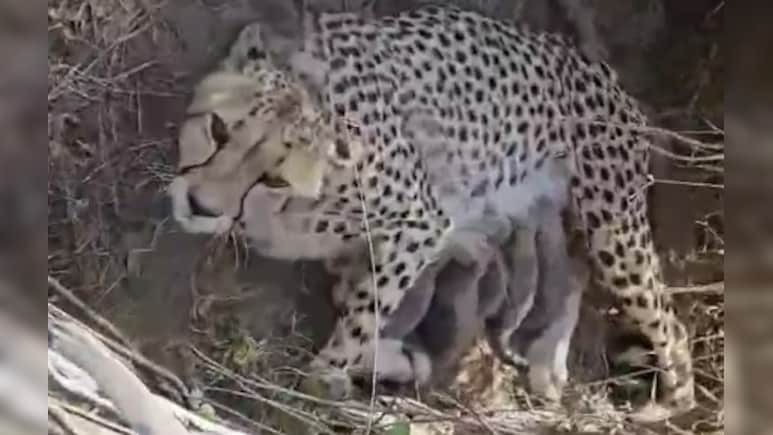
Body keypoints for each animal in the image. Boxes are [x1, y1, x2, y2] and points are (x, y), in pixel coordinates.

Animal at [167, 4, 695, 421]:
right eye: (217, 129)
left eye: (274, 178)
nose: (200, 205)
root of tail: (596, 67)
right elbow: (357, 302)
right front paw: (388, 360)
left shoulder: (419, 223)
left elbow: (364, 315)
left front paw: (324, 376)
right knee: (573, 277)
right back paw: (548, 364)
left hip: (614, 229)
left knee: (671, 325)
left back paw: (669, 404)